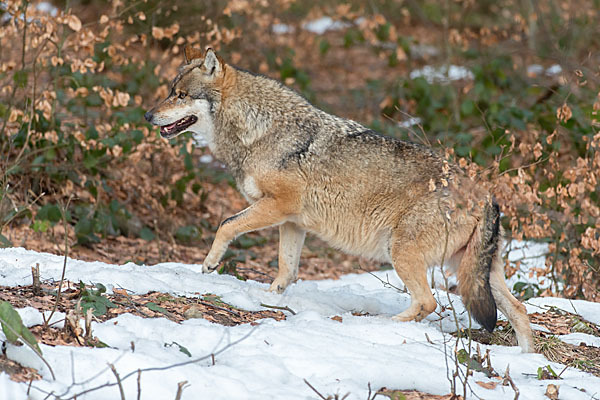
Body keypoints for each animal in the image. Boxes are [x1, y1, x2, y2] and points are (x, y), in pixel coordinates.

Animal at [144, 46, 536, 354]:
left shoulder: (277, 207)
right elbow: (286, 270)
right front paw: (271, 298)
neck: (259, 130)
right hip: (473, 273)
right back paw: (526, 360)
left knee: (428, 301)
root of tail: (484, 194)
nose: (148, 115)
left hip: (403, 254)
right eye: (171, 92)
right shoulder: (292, 223)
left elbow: (226, 225)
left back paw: (385, 325)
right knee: (519, 310)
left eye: (181, 95)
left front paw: (209, 265)